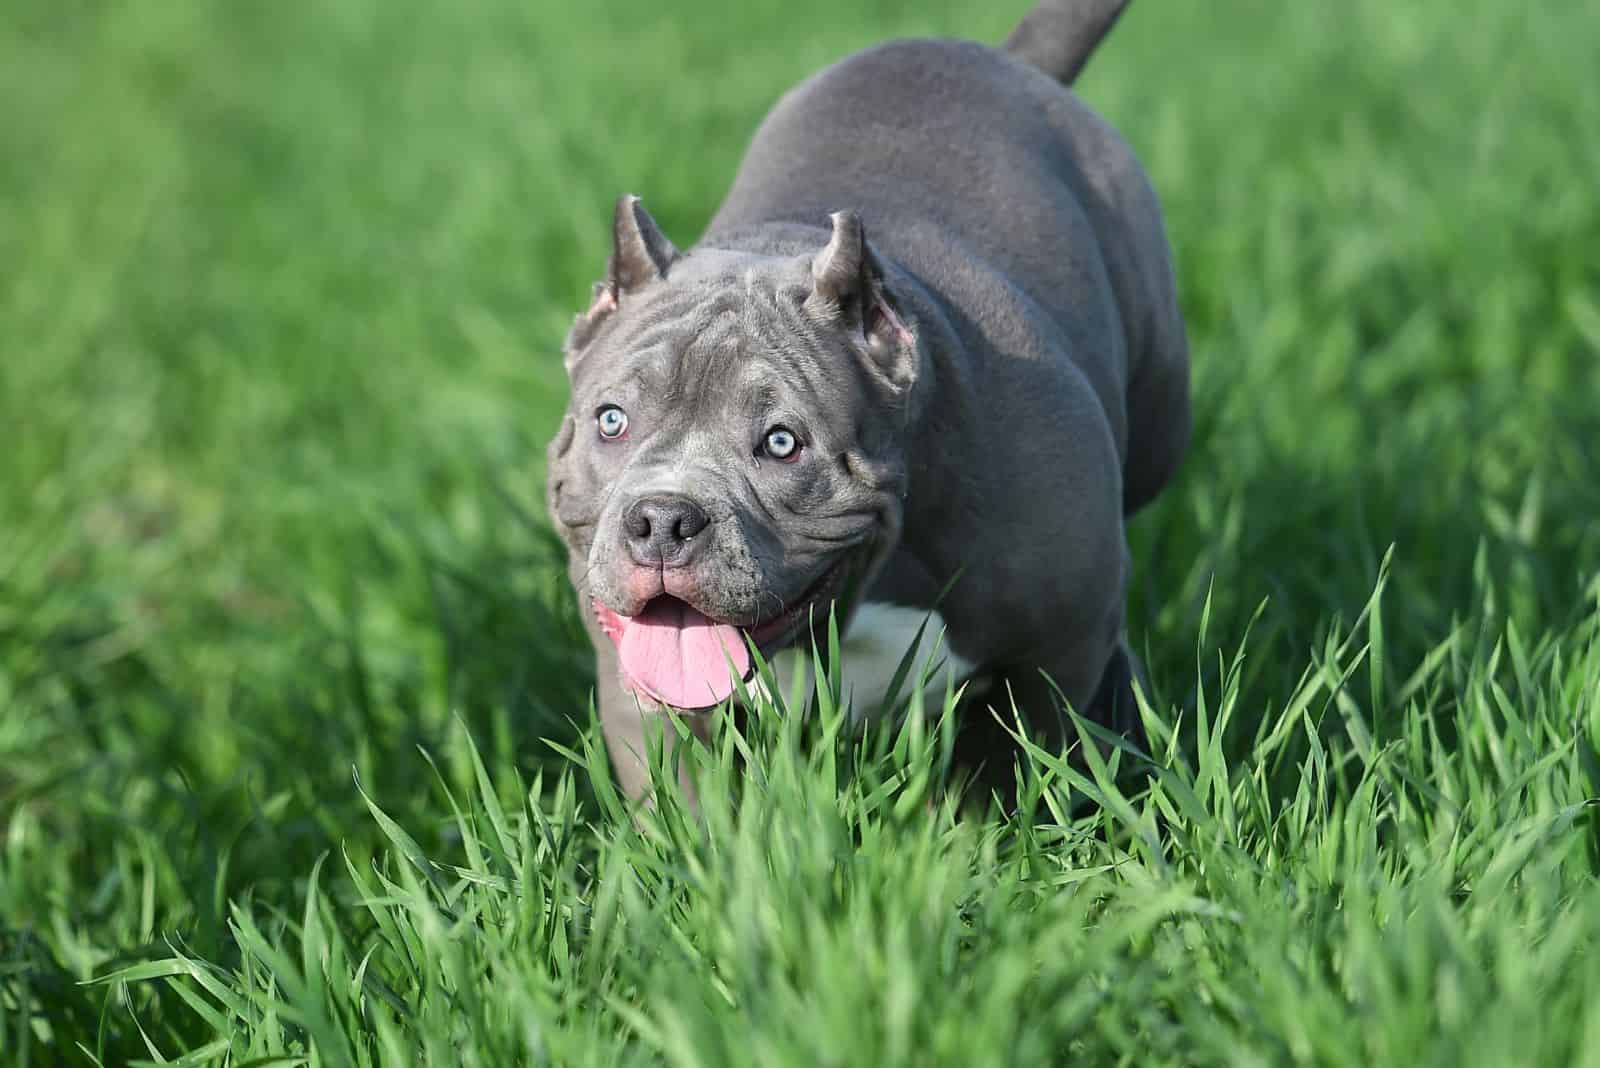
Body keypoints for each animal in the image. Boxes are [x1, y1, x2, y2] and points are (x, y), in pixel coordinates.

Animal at [550, 0, 1190, 799]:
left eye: (782, 443)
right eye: (612, 421)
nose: (662, 520)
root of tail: (999, 58)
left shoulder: (1055, 652)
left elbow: (1023, 770)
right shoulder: (645, 697)